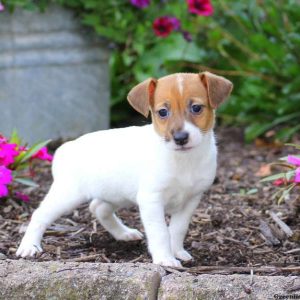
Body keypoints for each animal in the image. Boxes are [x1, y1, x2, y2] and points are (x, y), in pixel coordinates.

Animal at [15, 72, 232, 268]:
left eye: (196, 108)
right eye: (162, 112)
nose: (180, 138)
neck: (183, 160)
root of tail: (67, 148)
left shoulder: (191, 200)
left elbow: (178, 229)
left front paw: (177, 251)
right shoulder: (151, 199)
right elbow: (160, 232)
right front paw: (165, 259)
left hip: (116, 194)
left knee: (98, 208)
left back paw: (124, 233)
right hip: (68, 195)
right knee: (40, 214)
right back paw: (29, 246)